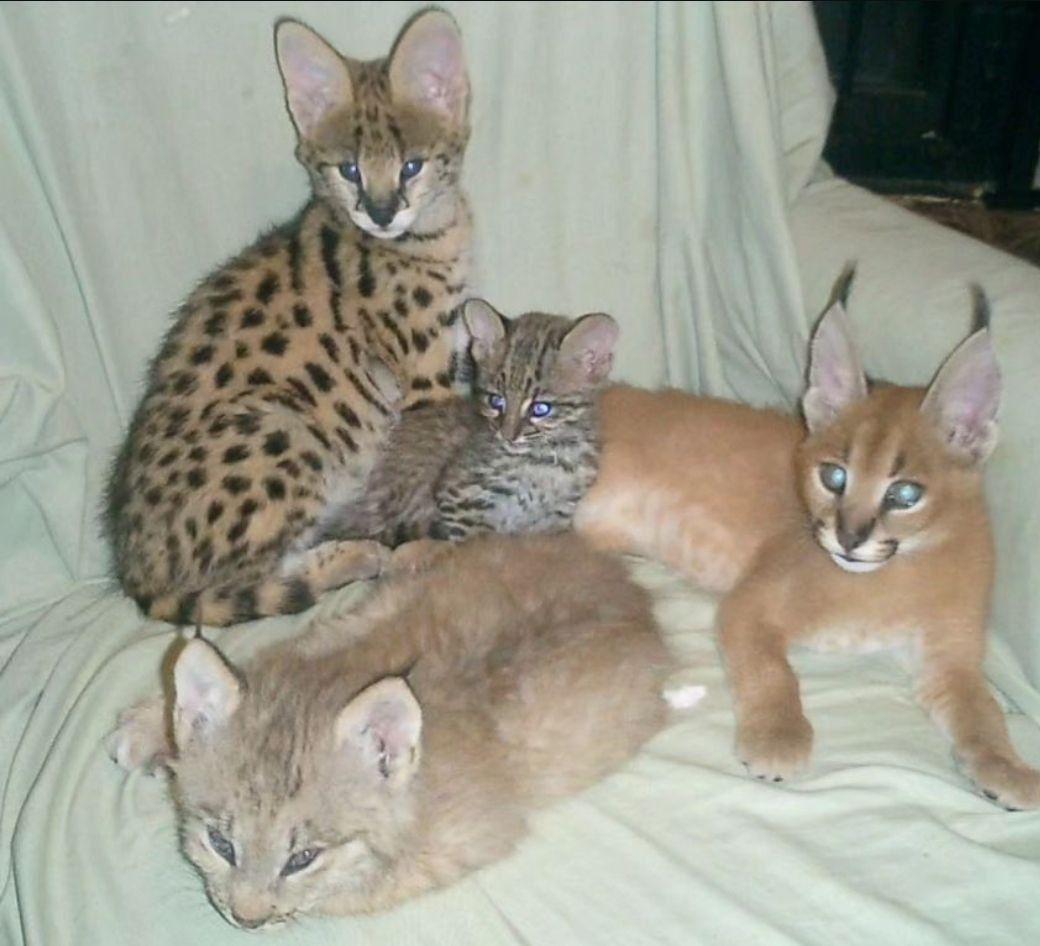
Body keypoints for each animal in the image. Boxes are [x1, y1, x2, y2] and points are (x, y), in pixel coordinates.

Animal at [104, 10, 474, 626]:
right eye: (349, 169)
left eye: (411, 166)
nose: (380, 213)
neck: (425, 234)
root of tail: (135, 571)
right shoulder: (428, 379)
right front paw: (440, 541)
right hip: (283, 426)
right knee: (250, 578)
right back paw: (360, 557)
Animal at [107, 533, 672, 927]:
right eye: (221, 844)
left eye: (302, 858)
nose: (245, 921)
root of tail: (625, 583)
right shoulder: (315, 646)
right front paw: (153, 725)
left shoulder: (458, 845)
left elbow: (350, 892)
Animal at [320, 298, 619, 546]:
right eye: (496, 401)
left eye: (540, 408)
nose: (507, 435)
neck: (547, 456)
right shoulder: (461, 500)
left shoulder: (555, 517)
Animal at [576, 269, 1040, 809]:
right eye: (833, 476)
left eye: (905, 494)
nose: (849, 537)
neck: (896, 575)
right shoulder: (748, 604)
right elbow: (774, 672)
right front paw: (778, 737)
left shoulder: (950, 659)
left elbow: (982, 711)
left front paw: (1006, 765)